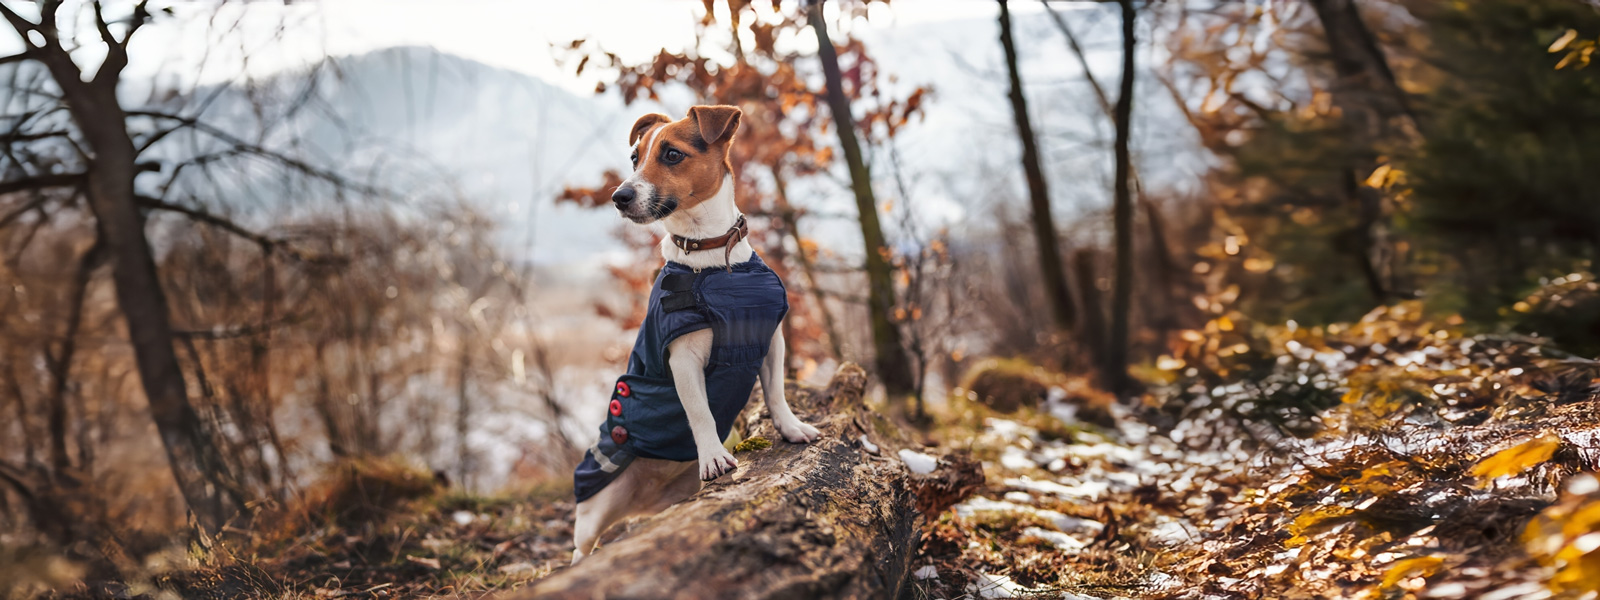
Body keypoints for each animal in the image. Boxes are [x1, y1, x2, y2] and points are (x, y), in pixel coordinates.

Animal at [572, 105, 825, 566]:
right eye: (635, 158)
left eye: (672, 154)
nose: (620, 196)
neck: (711, 254)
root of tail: (646, 498)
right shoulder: (683, 359)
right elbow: (701, 412)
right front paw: (712, 455)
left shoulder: (771, 341)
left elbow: (776, 392)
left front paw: (791, 427)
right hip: (598, 503)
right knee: (582, 547)